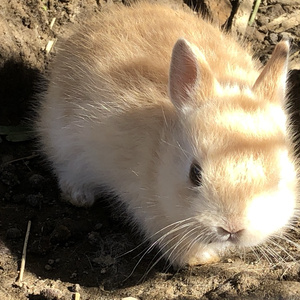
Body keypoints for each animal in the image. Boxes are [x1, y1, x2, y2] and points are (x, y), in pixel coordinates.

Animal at [37, 0, 298, 268]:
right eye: (194, 174)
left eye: (278, 178)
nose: (232, 227)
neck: (160, 149)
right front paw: (201, 258)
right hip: (63, 140)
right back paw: (79, 196)